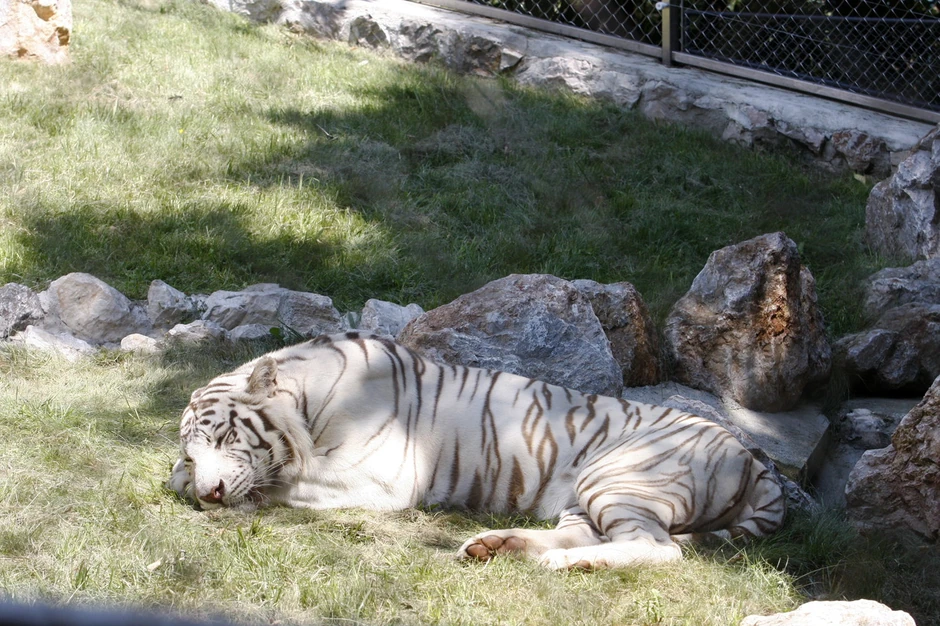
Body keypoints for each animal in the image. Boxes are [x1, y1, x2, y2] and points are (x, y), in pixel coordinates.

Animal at [167, 332, 785, 570]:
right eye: (196, 453)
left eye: (224, 438)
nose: (210, 493)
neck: (309, 397)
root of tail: (752, 457)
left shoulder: (378, 476)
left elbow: (288, 482)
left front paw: (243, 497)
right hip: (590, 495)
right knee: (588, 533)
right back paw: (496, 546)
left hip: (620, 477)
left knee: (661, 549)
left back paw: (567, 564)